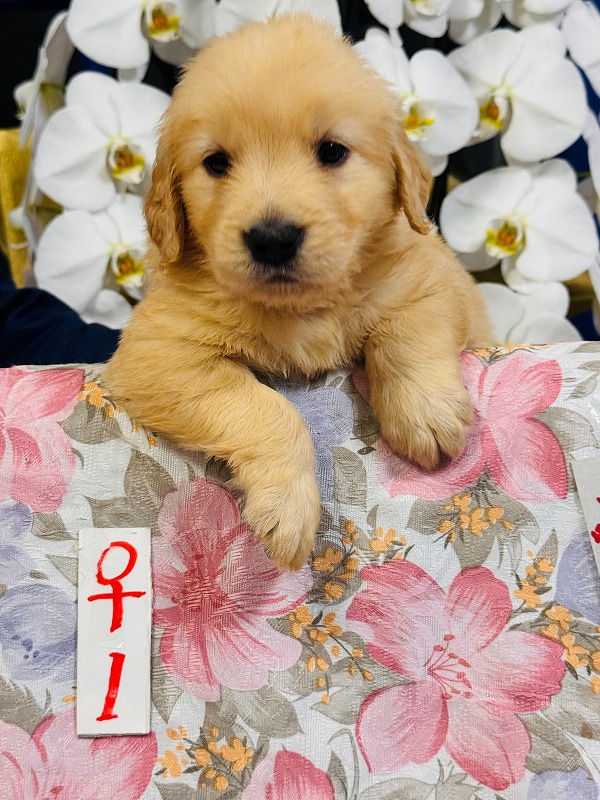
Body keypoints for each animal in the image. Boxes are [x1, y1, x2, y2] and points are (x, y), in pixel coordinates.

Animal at [104, 14, 492, 570]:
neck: (304, 305)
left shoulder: (434, 277)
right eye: (216, 163)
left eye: (331, 151)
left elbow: (405, 332)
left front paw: (426, 414)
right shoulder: (156, 353)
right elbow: (267, 408)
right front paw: (288, 508)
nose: (272, 239)